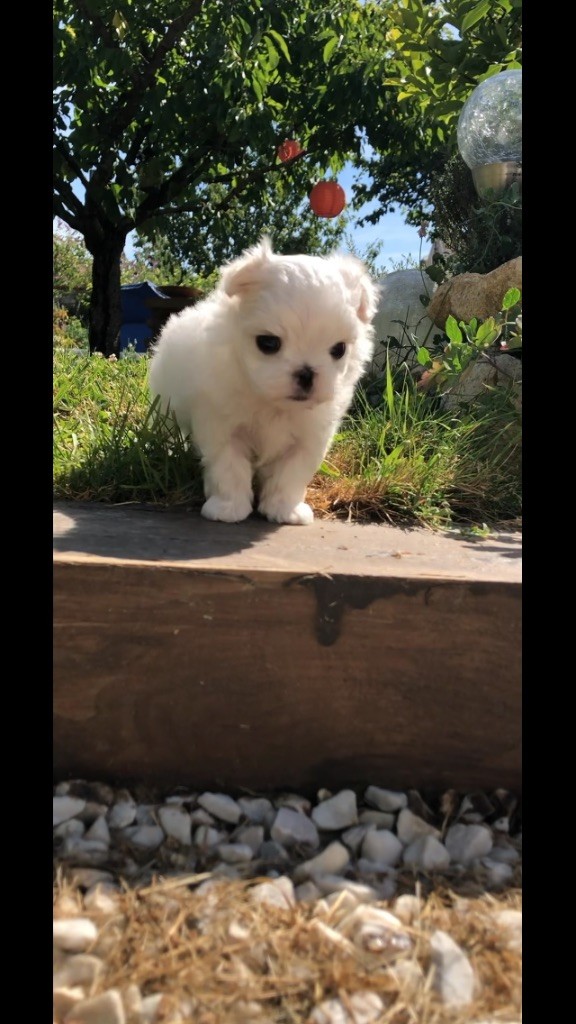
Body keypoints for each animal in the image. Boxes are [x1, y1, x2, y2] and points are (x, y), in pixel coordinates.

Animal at [148, 238, 377, 524]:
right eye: (268, 343)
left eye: (339, 349)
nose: (306, 373)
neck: (272, 404)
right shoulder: (223, 429)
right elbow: (229, 469)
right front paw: (228, 508)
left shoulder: (308, 440)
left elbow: (291, 475)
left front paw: (285, 510)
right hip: (166, 404)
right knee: (167, 427)